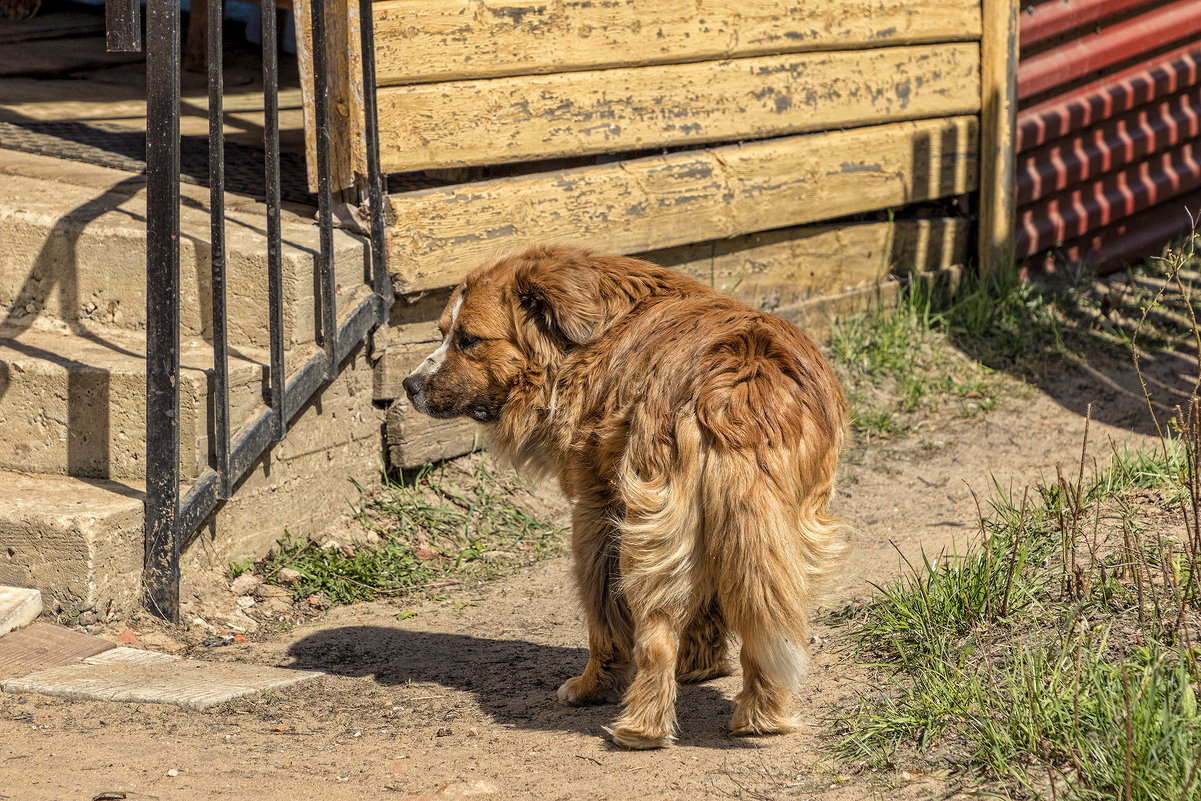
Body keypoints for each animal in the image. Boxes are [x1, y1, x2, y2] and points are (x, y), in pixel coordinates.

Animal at [408, 244, 850, 754]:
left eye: (468, 340)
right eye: (442, 333)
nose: (408, 386)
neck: (594, 335)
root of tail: (739, 383)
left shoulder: (596, 512)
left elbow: (605, 617)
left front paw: (592, 687)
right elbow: (711, 608)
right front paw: (702, 667)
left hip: (650, 528)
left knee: (656, 637)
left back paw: (641, 728)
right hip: (788, 529)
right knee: (770, 617)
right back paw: (763, 717)